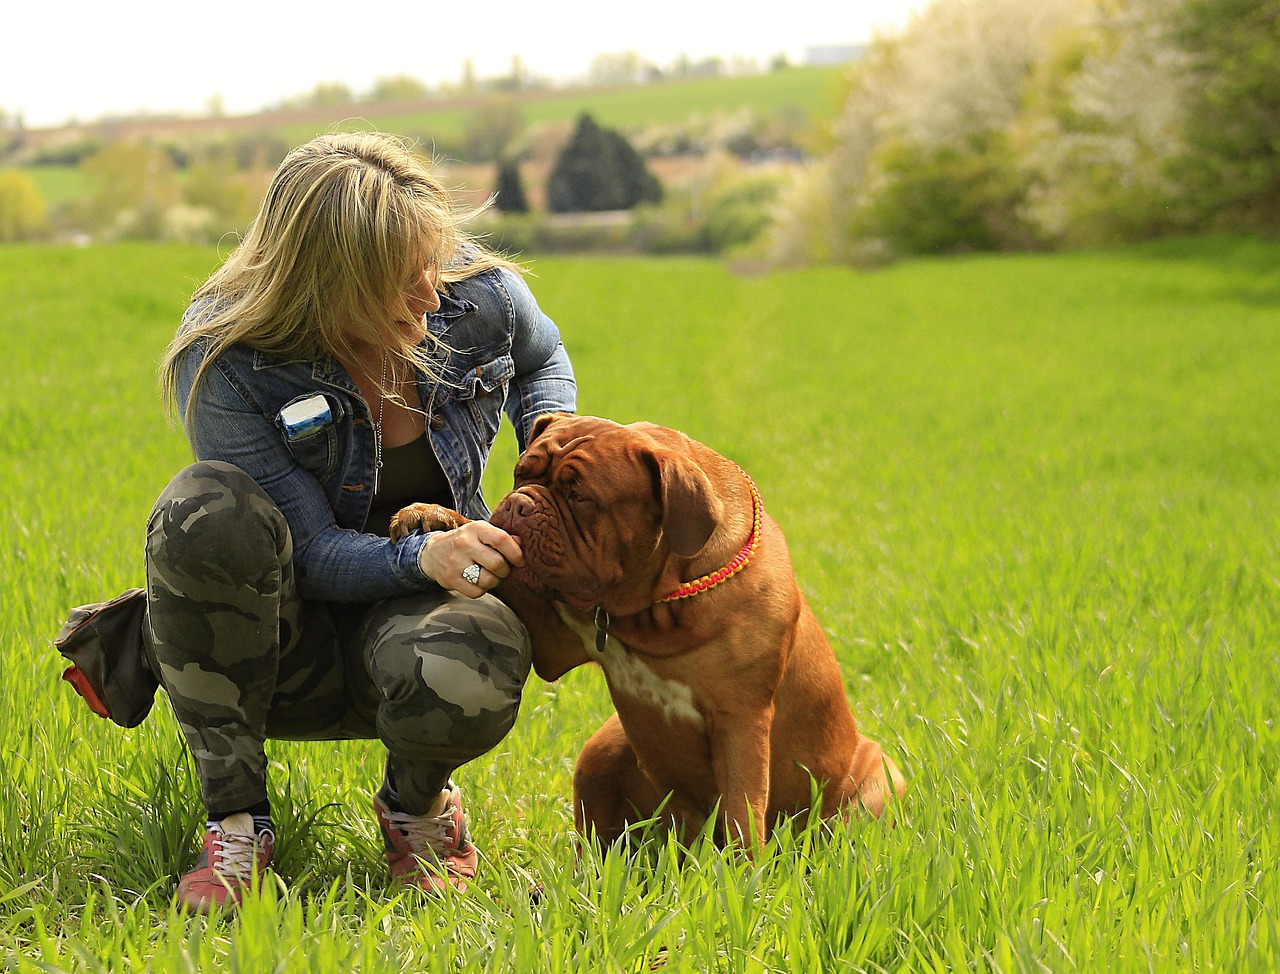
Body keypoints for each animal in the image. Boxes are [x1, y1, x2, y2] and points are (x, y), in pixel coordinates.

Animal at [394, 414, 906, 849]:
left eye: (581, 497)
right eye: (523, 473)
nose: (518, 504)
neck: (659, 605)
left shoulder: (741, 721)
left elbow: (743, 813)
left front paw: (743, 885)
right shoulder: (553, 637)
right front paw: (434, 518)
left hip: (879, 781)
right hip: (602, 753)